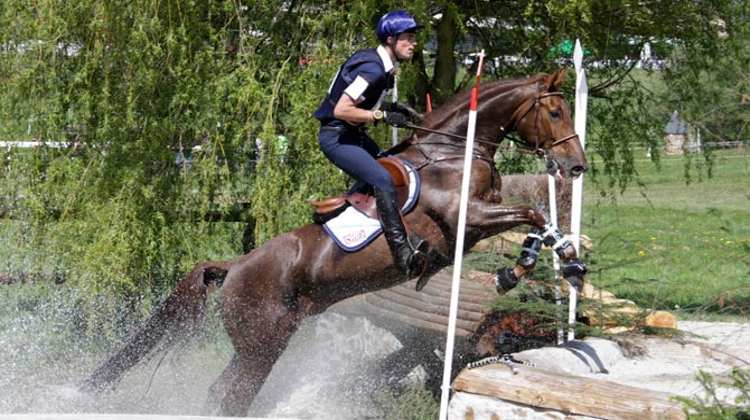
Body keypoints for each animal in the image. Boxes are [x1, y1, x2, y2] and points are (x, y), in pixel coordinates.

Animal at [81, 69, 588, 416]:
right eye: (555, 112)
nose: (577, 166)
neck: (452, 152)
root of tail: (234, 266)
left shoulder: (480, 222)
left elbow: (537, 218)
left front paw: (567, 261)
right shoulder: (466, 218)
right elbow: (534, 215)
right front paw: (518, 271)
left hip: (264, 342)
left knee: (222, 393)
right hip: (261, 344)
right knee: (233, 396)